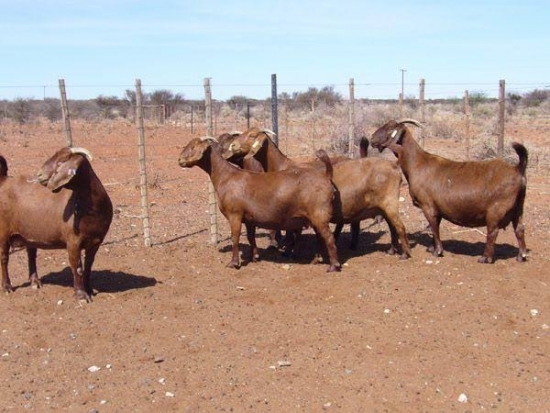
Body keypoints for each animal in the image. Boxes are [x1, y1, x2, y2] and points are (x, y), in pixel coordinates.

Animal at [0, 147, 114, 300]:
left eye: (60, 162)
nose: (39, 174)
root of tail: (3, 180)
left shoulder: (96, 241)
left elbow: (89, 266)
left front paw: (89, 289)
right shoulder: (73, 242)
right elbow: (77, 267)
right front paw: (81, 295)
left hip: (29, 233)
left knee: (31, 254)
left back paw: (35, 282)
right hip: (3, 232)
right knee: (4, 258)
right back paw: (7, 287)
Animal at [179, 135, 340, 270]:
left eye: (193, 147)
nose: (180, 160)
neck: (226, 176)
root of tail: (326, 176)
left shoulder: (235, 215)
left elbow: (235, 237)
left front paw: (234, 263)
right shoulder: (249, 218)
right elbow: (250, 237)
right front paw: (255, 256)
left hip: (319, 214)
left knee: (329, 237)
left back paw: (333, 266)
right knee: (321, 237)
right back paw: (316, 260)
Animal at [222, 127, 412, 260]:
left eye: (252, 136)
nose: (232, 146)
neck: (281, 165)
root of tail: (393, 165)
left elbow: (292, 233)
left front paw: (289, 251)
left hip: (388, 202)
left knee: (396, 225)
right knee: (388, 225)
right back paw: (388, 249)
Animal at [374, 117, 528, 262]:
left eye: (389, 129)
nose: (373, 138)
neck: (417, 163)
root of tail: (517, 169)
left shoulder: (427, 206)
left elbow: (434, 227)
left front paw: (438, 251)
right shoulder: (438, 209)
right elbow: (435, 226)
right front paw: (432, 248)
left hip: (496, 210)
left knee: (493, 231)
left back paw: (485, 258)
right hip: (518, 208)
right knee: (519, 229)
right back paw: (521, 256)